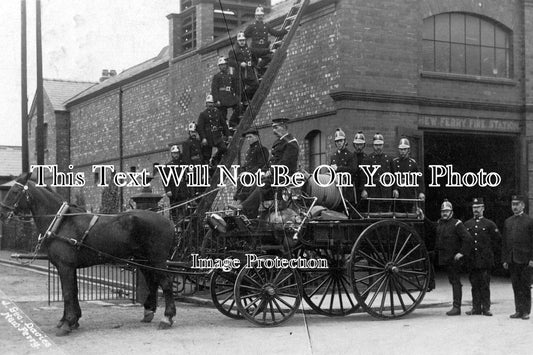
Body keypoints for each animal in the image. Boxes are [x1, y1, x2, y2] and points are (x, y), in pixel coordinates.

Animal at [0, 174, 179, 338]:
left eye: (14, 191)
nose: (2, 213)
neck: (62, 222)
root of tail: (168, 222)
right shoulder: (69, 267)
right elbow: (73, 291)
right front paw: (71, 320)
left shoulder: (65, 267)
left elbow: (67, 293)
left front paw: (67, 323)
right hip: (145, 260)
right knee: (153, 282)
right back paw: (150, 311)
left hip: (157, 259)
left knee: (166, 283)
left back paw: (167, 317)